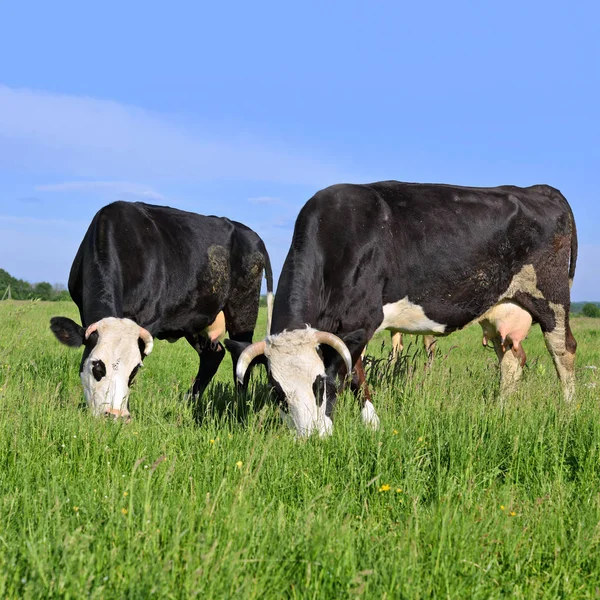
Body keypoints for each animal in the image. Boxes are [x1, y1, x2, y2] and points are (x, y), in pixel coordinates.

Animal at [49, 199, 274, 420]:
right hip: (195, 317)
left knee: (242, 354)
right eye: (97, 367)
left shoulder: (148, 320)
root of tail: (250, 234)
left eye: (134, 370)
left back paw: (239, 407)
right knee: (213, 355)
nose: (114, 415)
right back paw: (188, 403)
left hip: (243, 308)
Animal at [225, 180, 576, 438]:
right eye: (278, 391)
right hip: (500, 308)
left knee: (563, 350)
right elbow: (357, 373)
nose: (309, 436)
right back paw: (501, 409)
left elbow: (345, 373)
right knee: (511, 360)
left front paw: (344, 426)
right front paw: (369, 422)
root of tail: (540, 189)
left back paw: (569, 410)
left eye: (318, 384)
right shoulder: (348, 329)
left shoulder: (360, 321)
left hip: (553, 298)